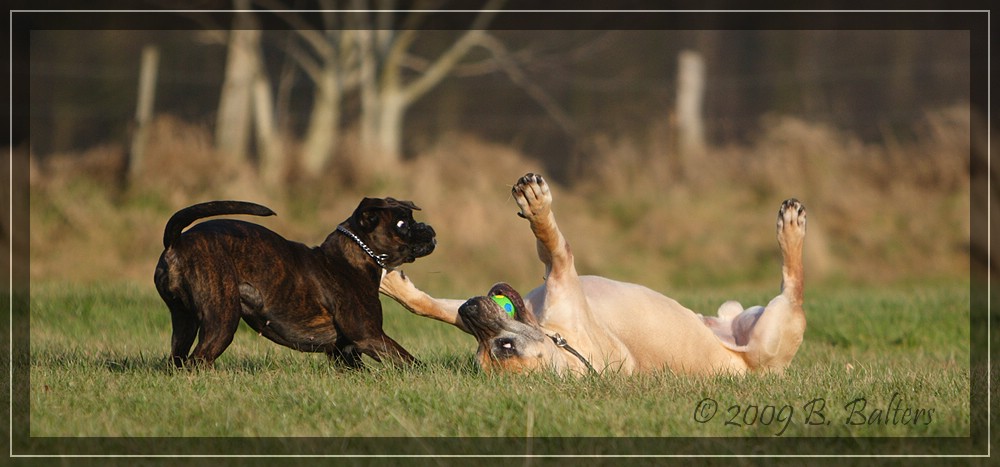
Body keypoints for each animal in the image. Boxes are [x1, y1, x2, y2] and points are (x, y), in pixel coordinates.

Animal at [154, 197, 436, 370]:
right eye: (402, 224)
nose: (429, 229)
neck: (352, 258)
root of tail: (176, 241)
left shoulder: (345, 352)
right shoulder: (369, 336)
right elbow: (411, 363)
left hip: (184, 321)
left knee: (178, 360)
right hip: (221, 321)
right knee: (198, 361)